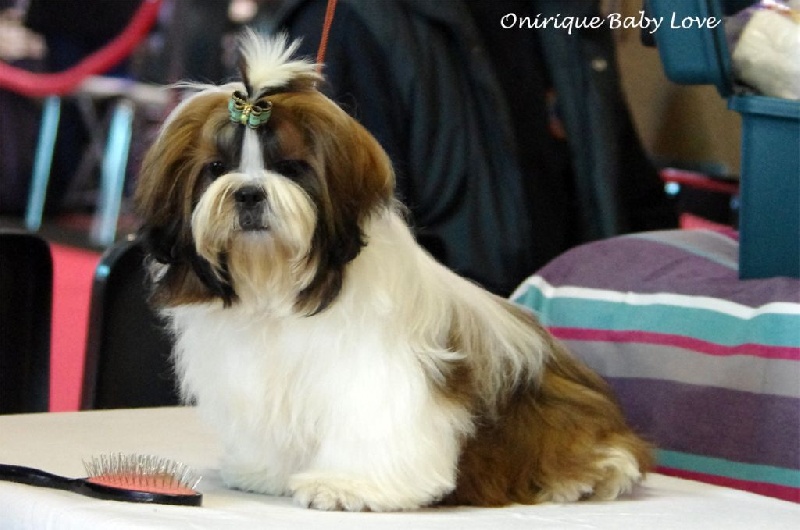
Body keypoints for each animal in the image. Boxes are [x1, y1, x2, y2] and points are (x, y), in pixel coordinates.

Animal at [134, 32, 653, 512]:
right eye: (215, 168)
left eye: (292, 168)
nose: (247, 193)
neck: (276, 285)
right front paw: (265, 472)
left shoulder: (376, 374)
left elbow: (373, 423)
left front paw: (347, 486)